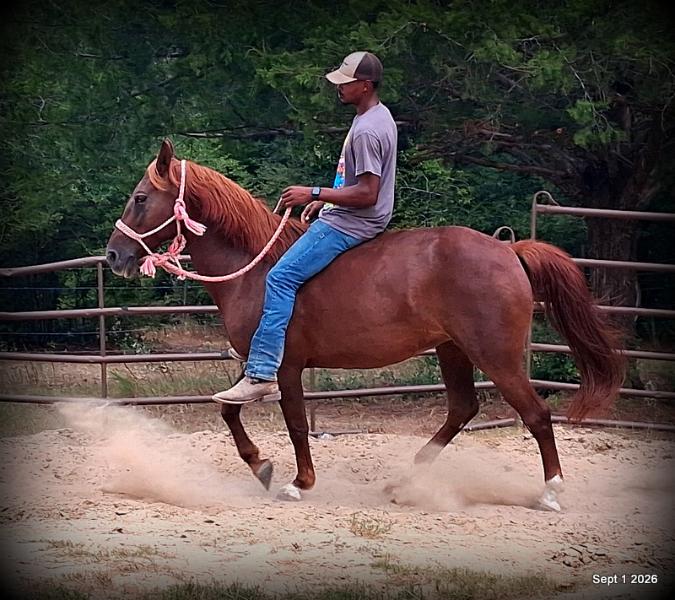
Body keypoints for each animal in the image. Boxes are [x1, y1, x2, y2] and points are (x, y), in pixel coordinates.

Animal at [106, 139, 624, 511]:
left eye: (140, 198)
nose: (113, 255)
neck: (256, 267)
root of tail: (508, 250)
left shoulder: (284, 365)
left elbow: (295, 423)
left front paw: (299, 482)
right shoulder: (257, 362)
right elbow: (229, 411)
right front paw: (260, 466)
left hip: (495, 356)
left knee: (536, 415)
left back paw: (551, 492)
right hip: (452, 350)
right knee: (462, 409)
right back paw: (406, 481)